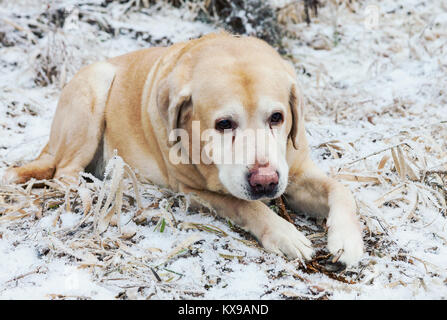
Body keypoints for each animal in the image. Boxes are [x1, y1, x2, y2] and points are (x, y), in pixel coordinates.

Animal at [2, 33, 364, 266]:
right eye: (224, 124)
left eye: (277, 117)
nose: (265, 182)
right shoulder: (192, 190)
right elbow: (247, 206)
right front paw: (285, 234)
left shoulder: (295, 171)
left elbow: (342, 191)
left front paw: (347, 241)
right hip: (95, 86)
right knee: (63, 173)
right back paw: (91, 190)